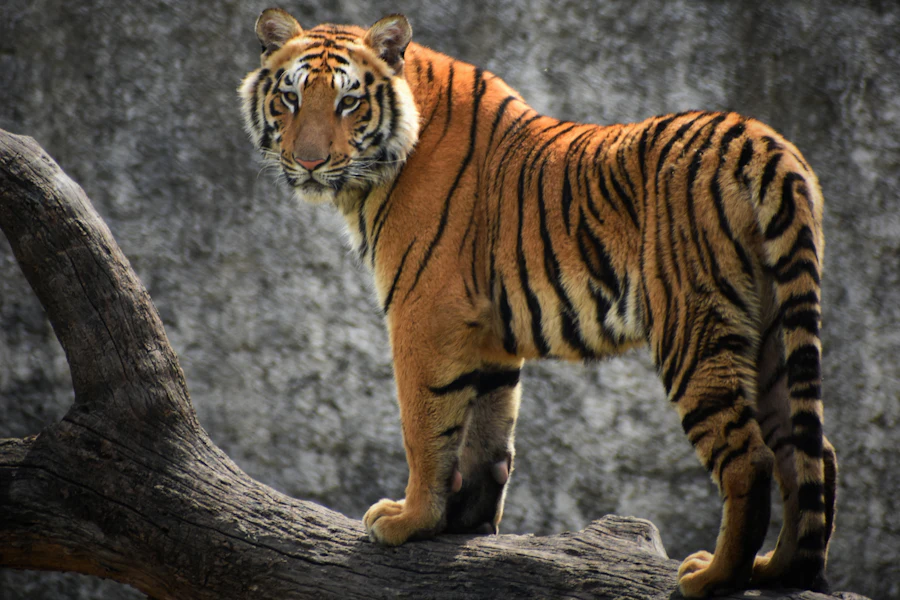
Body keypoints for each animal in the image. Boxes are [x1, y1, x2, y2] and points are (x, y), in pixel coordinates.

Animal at [239, 8, 837, 597]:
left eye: (348, 102)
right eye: (290, 98)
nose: (309, 162)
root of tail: (763, 141)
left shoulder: (423, 312)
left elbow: (425, 425)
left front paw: (410, 520)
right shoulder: (487, 333)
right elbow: (487, 431)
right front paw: (465, 523)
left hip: (692, 327)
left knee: (750, 458)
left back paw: (712, 577)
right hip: (774, 330)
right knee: (809, 453)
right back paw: (779, 570)